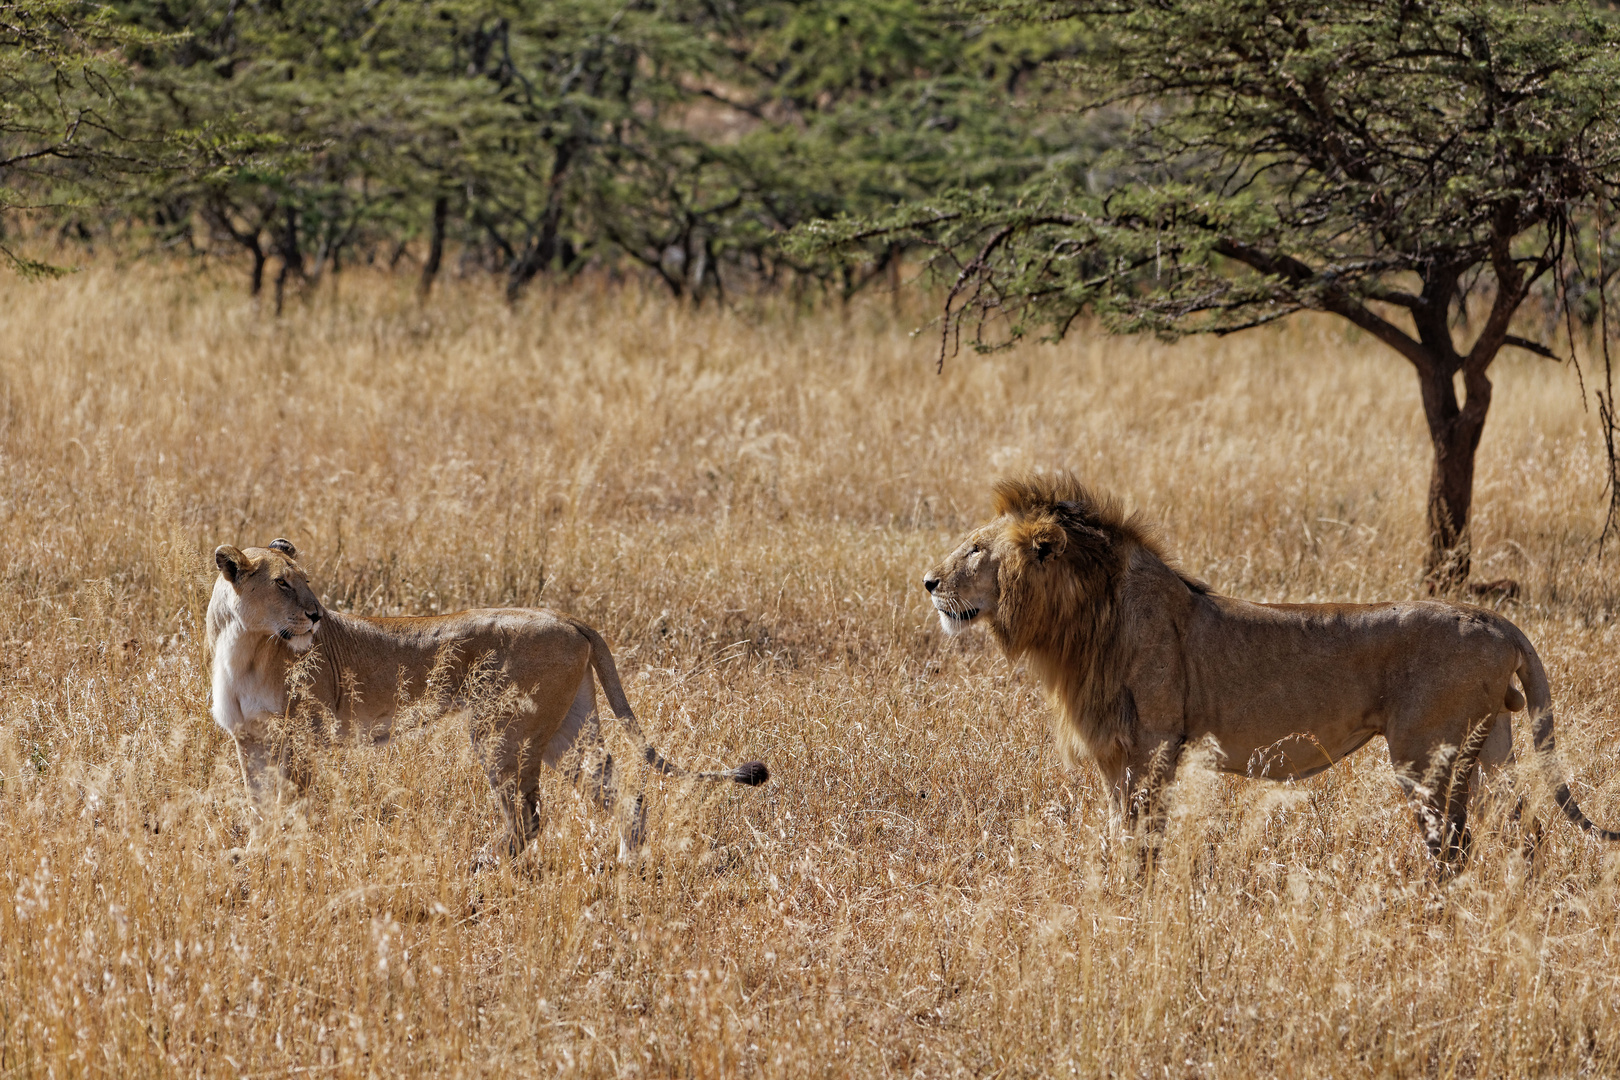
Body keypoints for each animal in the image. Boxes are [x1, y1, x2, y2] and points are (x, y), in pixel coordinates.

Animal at [207, 540, 764, 861]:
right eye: (283, 583)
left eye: (307, 583)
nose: (317, 616)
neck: (245, 647)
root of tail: (567, 617)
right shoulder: (249, 740)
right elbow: (259, 802)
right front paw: (252, 853)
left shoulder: (302, 736)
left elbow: (289, 803)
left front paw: (283, 853)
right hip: (565, 730)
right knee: (618, 787)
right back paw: (628, 862)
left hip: (501, 731)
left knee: (529, 816)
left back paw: (482, 863)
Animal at [926, 476, 1620, 867]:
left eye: (976, 550)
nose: (928, 582)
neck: (1081, 622)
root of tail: (1493, 619)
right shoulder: (1115, 753)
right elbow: (1123, 831)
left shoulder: (1155, 743)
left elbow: (1146, 836)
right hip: (1483, 747)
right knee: (1507, 833)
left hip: (1425, 752)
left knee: (1451, 842)